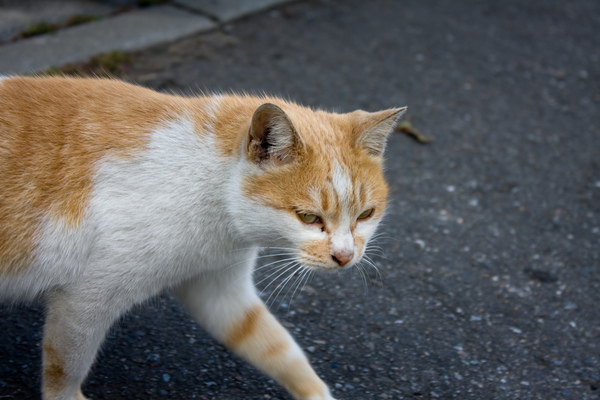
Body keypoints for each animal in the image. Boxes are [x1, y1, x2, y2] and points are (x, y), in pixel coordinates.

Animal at [0, 76, 406, 400]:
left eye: (365, 215)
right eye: (309, 218)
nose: (345, 256)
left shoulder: (220, 289)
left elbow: (277, 348)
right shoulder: (85, 302)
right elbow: (65, 371)